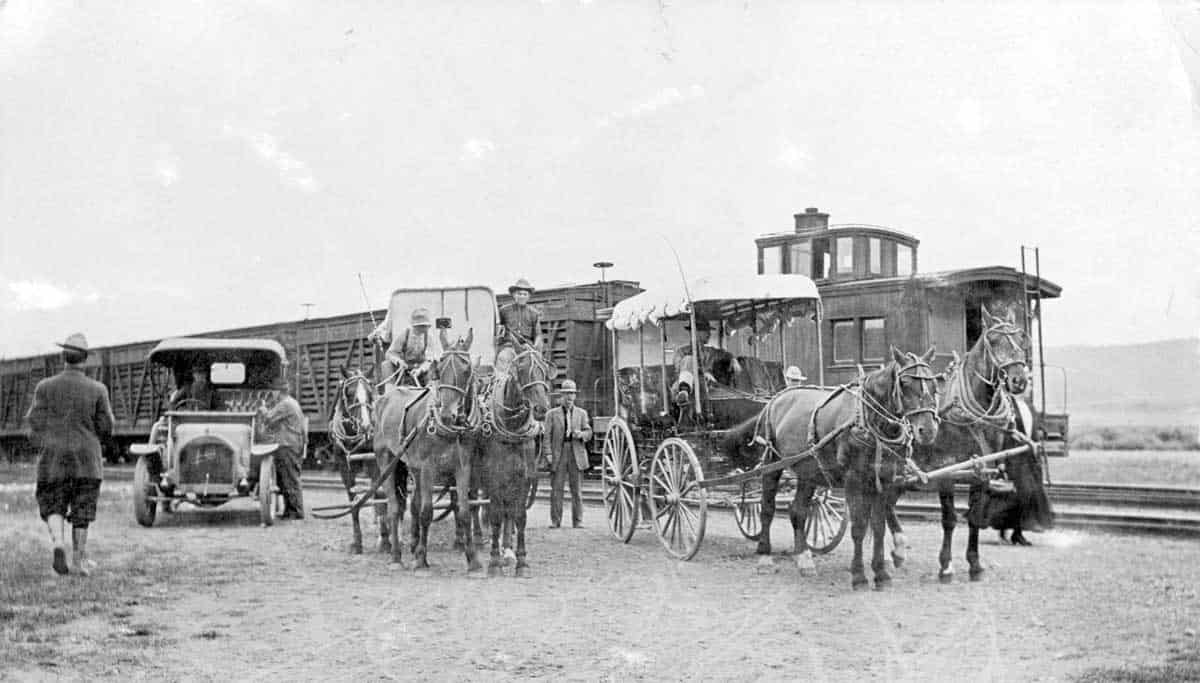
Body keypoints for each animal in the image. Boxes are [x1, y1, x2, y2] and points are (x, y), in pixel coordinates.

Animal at [477, 345, 552, 576]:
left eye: (545, 369)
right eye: (522, 369)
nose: (541, 408)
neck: (512, 428)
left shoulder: (524, 478)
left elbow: (519, 516)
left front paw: (521, 561)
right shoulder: (493, 478)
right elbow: (494, 515)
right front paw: (493, 562)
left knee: (508, 512)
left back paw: (507, 551)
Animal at [729, 348, 945, 588]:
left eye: (934, 384)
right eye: (905, 383)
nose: (928, 430)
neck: (867, 421)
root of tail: (776, 398)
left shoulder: (884, 479)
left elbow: (879, 527)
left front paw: (881, 573)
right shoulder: (853, 480)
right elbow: (859, 527)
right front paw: (859, 576)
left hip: (809, 471)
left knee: (798, 511)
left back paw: (804, 559)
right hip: (771, 464)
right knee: (767, 508)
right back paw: (765, 557)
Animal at [907, 304, 1032, 580]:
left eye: (1021, 338)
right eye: (993, 340)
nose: (1019, 380)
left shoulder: (981, 471)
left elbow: (975, 517)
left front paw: (975, 564)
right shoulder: (945, 470)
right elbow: (949, 519)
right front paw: (945, 566)